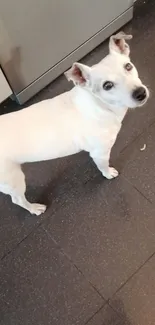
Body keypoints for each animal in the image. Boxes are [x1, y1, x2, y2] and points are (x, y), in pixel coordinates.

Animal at [0, 31, 149, 214]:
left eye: (128, 66)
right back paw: (34, 208)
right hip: (13, 179)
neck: (100, 105)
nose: (140, 93)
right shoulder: (100, 153)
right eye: (107, 85)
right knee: (18, 199)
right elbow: (103, 166)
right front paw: (108, 173)